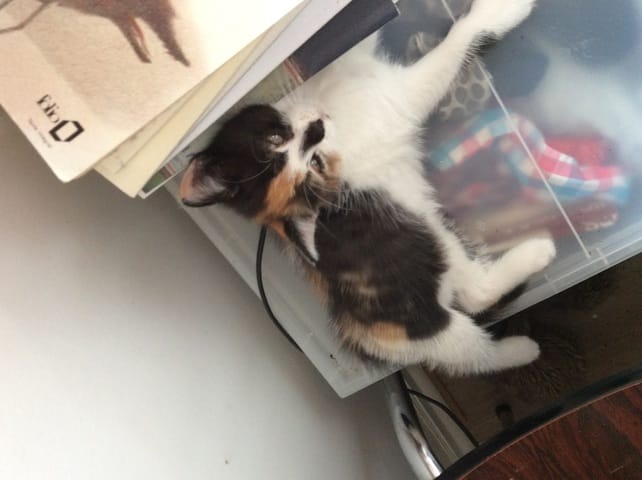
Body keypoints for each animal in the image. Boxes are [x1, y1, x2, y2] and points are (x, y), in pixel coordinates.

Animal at [179, 0, 557, 375]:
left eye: (274, 139)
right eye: (310, 158)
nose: (317, 127)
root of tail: (359, 335)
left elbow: (355, 43)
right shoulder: (392, 101)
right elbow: (452, 49)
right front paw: (499, 11)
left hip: (431, 236)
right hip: (428, 314)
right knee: (474, 314)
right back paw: (526, 328)